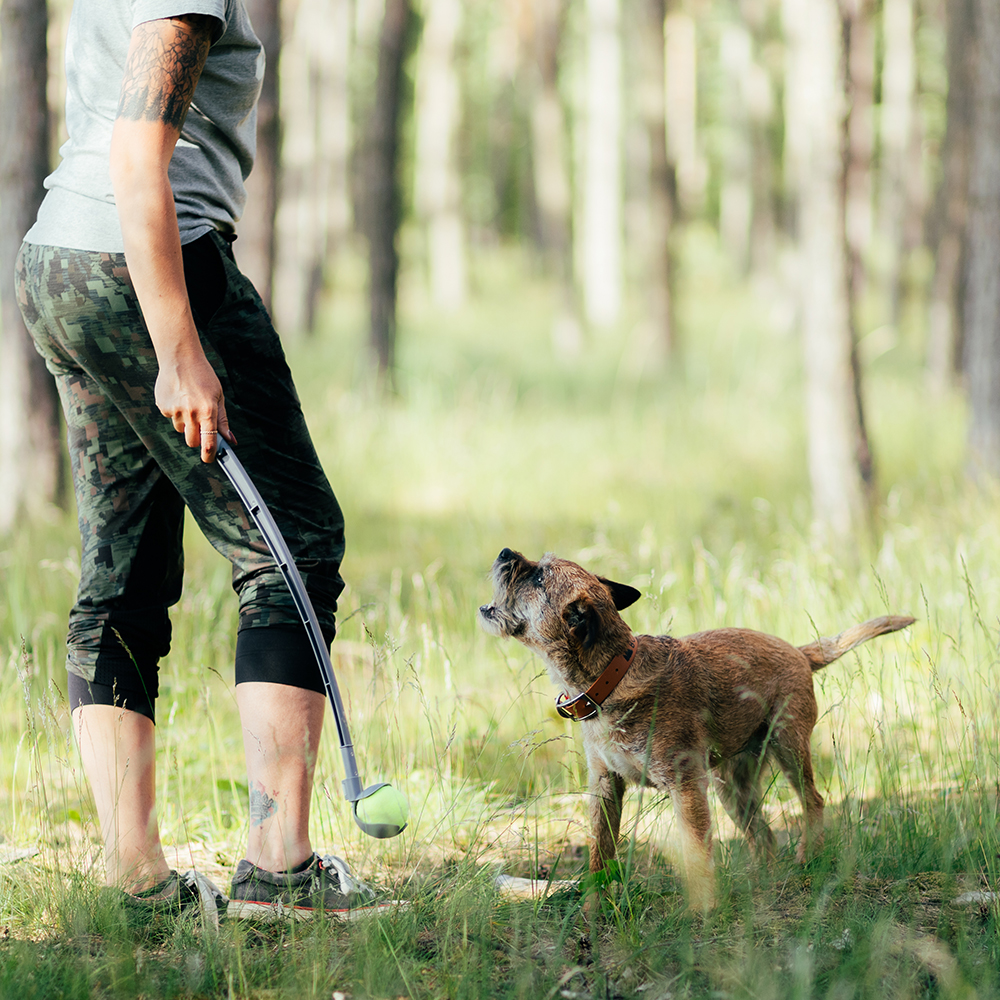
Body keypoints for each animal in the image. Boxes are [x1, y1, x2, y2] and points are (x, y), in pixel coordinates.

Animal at [478, 552, 916, 912]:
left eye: (538, 577)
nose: (504, 552)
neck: (612, 676)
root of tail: (798, 650)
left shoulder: (685, 787)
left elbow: (696, 855)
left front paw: (703, 911)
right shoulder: (605, 788)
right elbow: (600, 857)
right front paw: (593, 910)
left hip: (788, 748)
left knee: (813, 801)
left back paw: (807, 857)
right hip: (732, 789)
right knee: (763, 835)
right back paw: (761, 880)